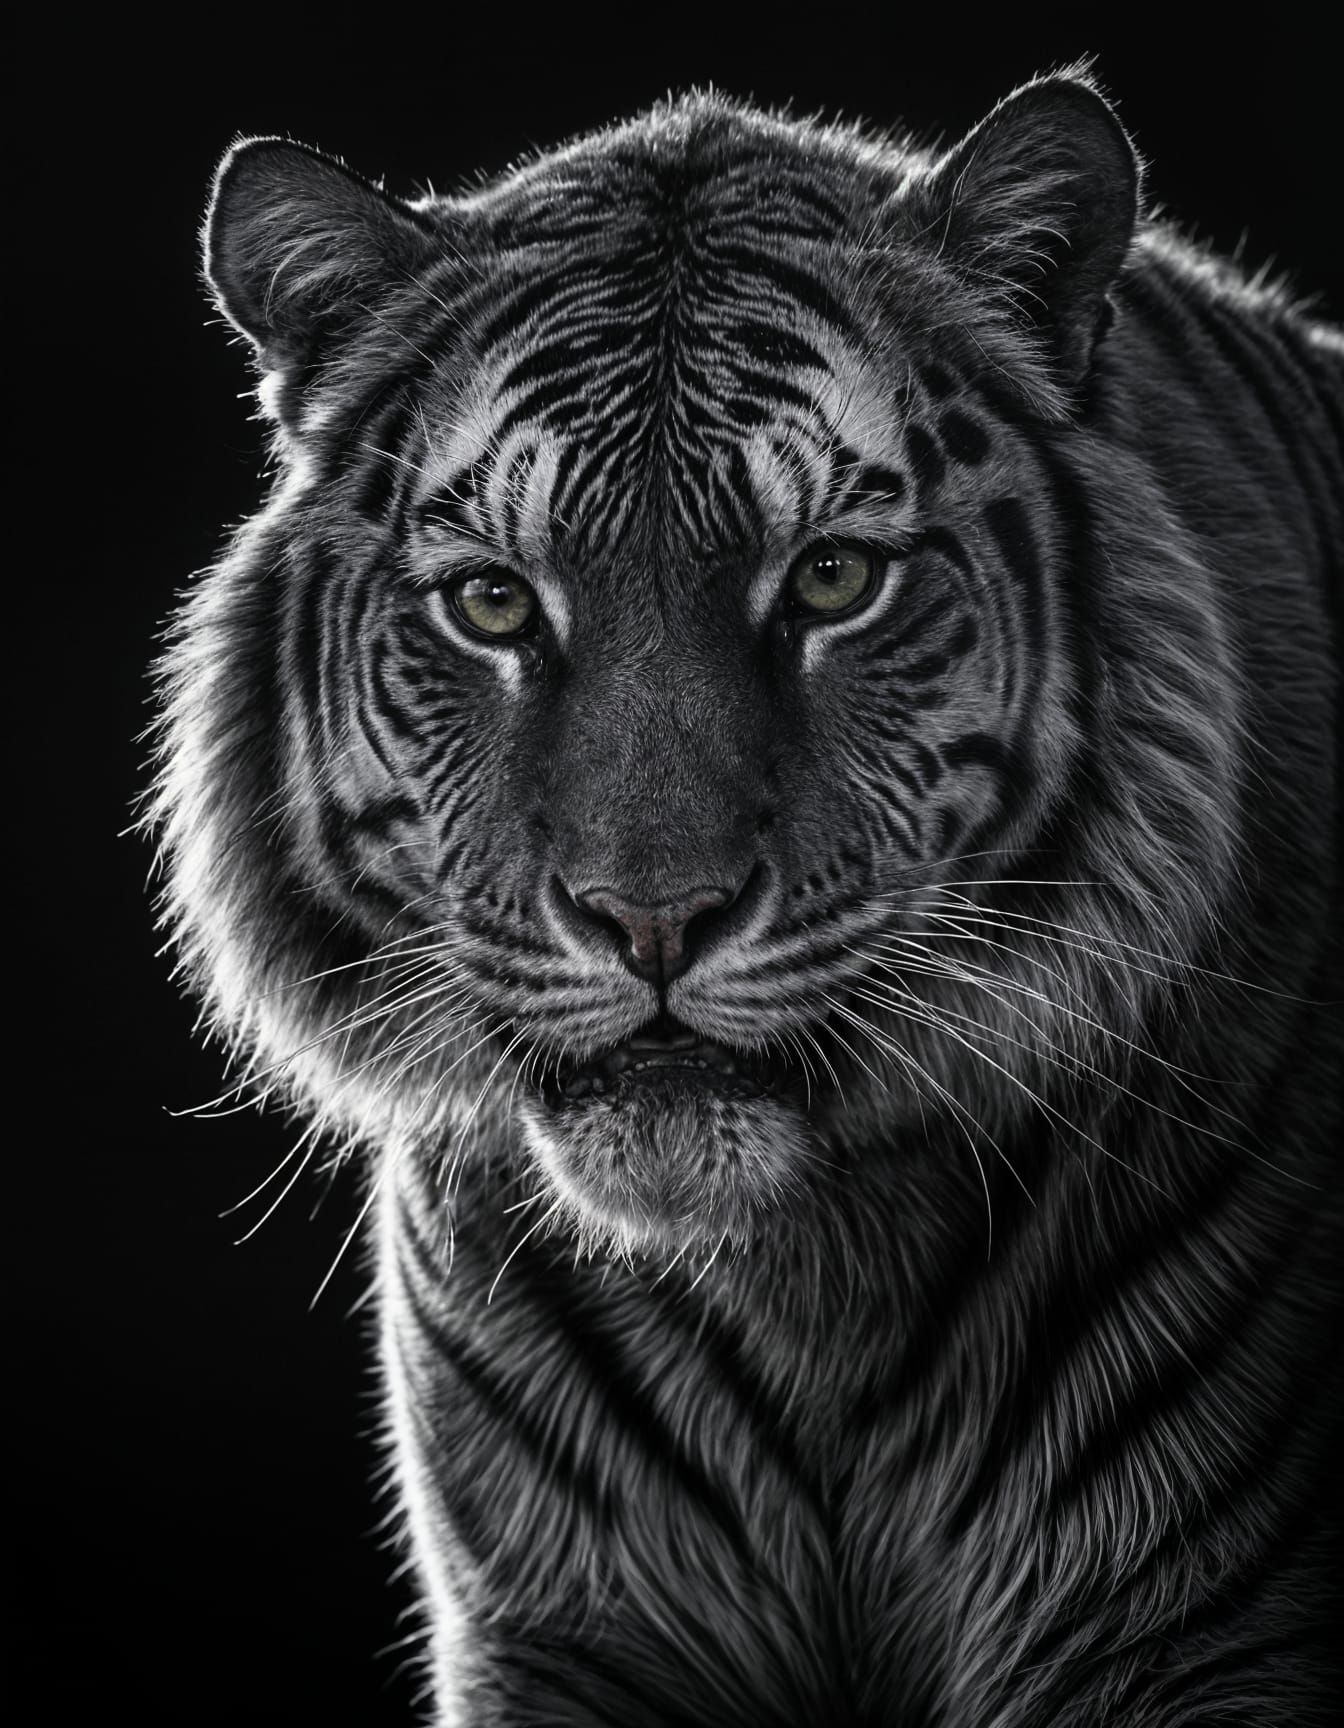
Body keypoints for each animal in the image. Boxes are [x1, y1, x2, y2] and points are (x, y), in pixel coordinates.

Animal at [148, 68, 1343, 1725]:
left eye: (834, 579)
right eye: (495, 603)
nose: (652, 919)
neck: (805, 1282)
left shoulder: (1197, 1632)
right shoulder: (562, 1634)